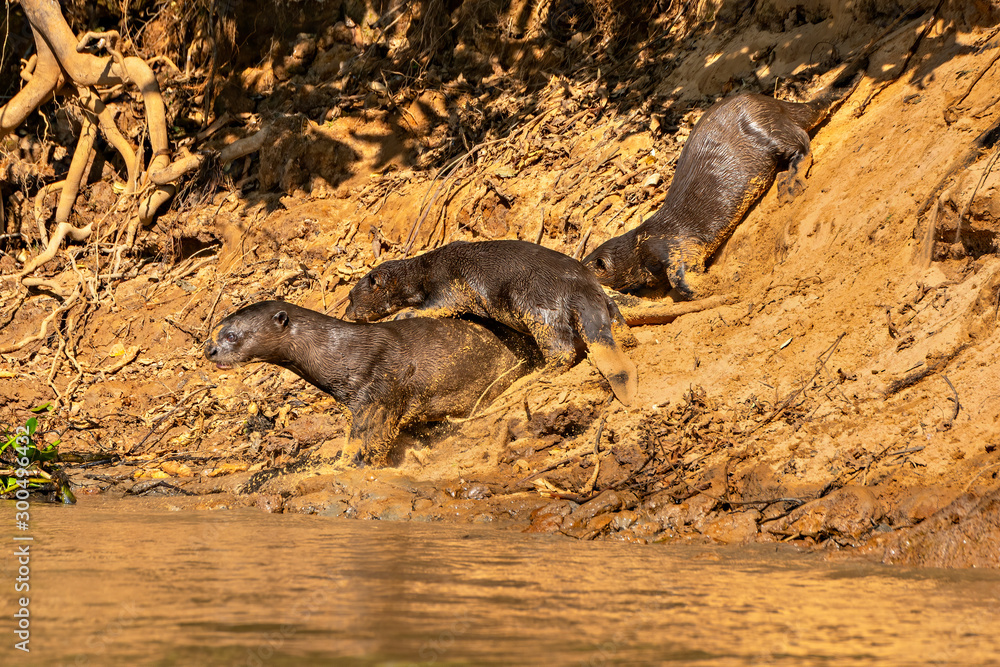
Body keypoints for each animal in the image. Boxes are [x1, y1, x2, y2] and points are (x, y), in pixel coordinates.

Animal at [204, 301, 536, 466]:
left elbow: (373, 441)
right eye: (216, 331)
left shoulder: (378, 393)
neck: (343, 353)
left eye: (232, 335)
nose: (209, 350)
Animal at [345, 239, 639, 405]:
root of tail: (582, 287)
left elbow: (440, 305)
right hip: (605, 303)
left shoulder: (449, 282)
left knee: (562, 350)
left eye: (350, 297)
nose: (347, 313)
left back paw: (536, 377)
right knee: (617, 325)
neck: (424, 272)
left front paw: (403, 314)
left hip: (536, 305)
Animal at [583, 68, 865, 298]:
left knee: (802, 143)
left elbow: (680, 273)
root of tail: (775, 104)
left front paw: (703, 287)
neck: (636, 248)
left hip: (765, 128)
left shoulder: (667, 243)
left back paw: (790, 182)